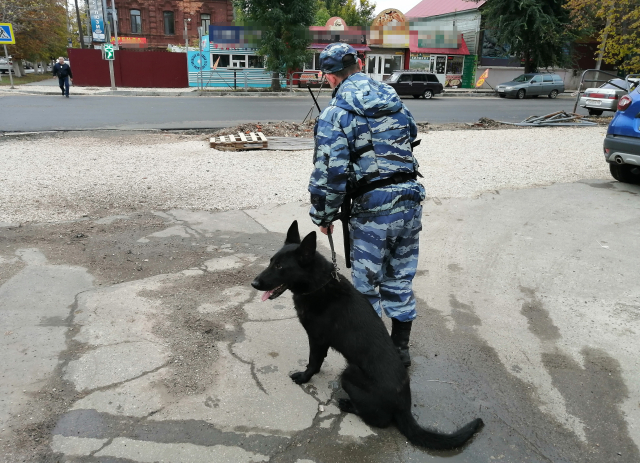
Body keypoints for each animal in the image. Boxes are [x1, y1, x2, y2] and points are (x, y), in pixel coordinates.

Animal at [251, 221, 483, 450]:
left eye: (280, 267)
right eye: (271, 262)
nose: (254, 283)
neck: (318, 285)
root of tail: (403, 405)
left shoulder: (317, 340)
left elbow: (313, 363)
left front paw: (304, 377)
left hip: (349, 374)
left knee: (381, 420)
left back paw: (349, 405)